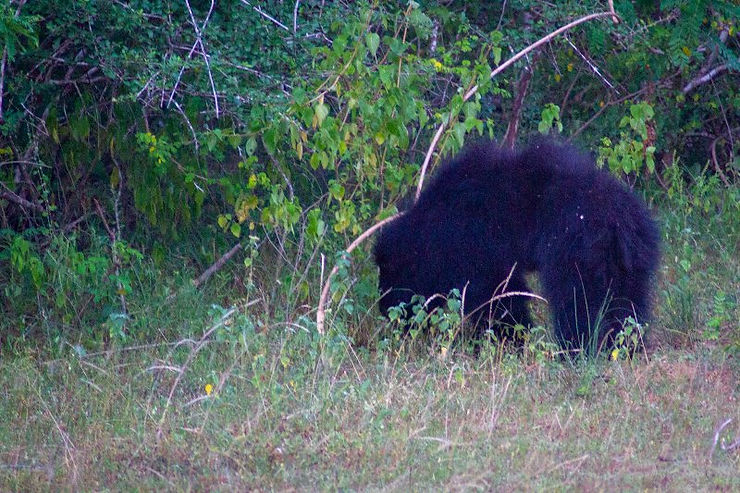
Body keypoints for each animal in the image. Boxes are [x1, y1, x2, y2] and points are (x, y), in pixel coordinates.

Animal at [376, 138, 660, 350]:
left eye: (389, 277)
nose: (384, 312)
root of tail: (619, 221)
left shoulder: (475, 245)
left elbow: (497, 295)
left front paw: (509, 341)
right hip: (632, 258)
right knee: (628, 301)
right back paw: (627, 347)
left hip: (577, 249)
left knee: (577, 302)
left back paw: (574, 350)